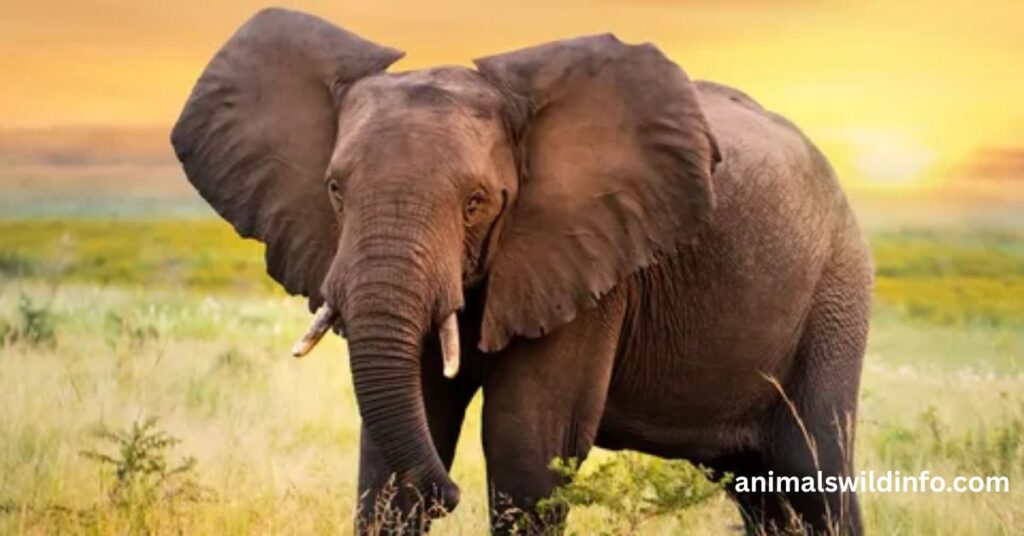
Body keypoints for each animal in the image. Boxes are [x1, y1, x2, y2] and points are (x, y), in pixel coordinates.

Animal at [171, 8, 872, 535]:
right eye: (336, 190)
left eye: (476, 203)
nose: (450, 497)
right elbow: (398, 448)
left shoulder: (591, 261)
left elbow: (526, 445)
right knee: (765, 491)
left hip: (835, 294)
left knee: (814, 471)